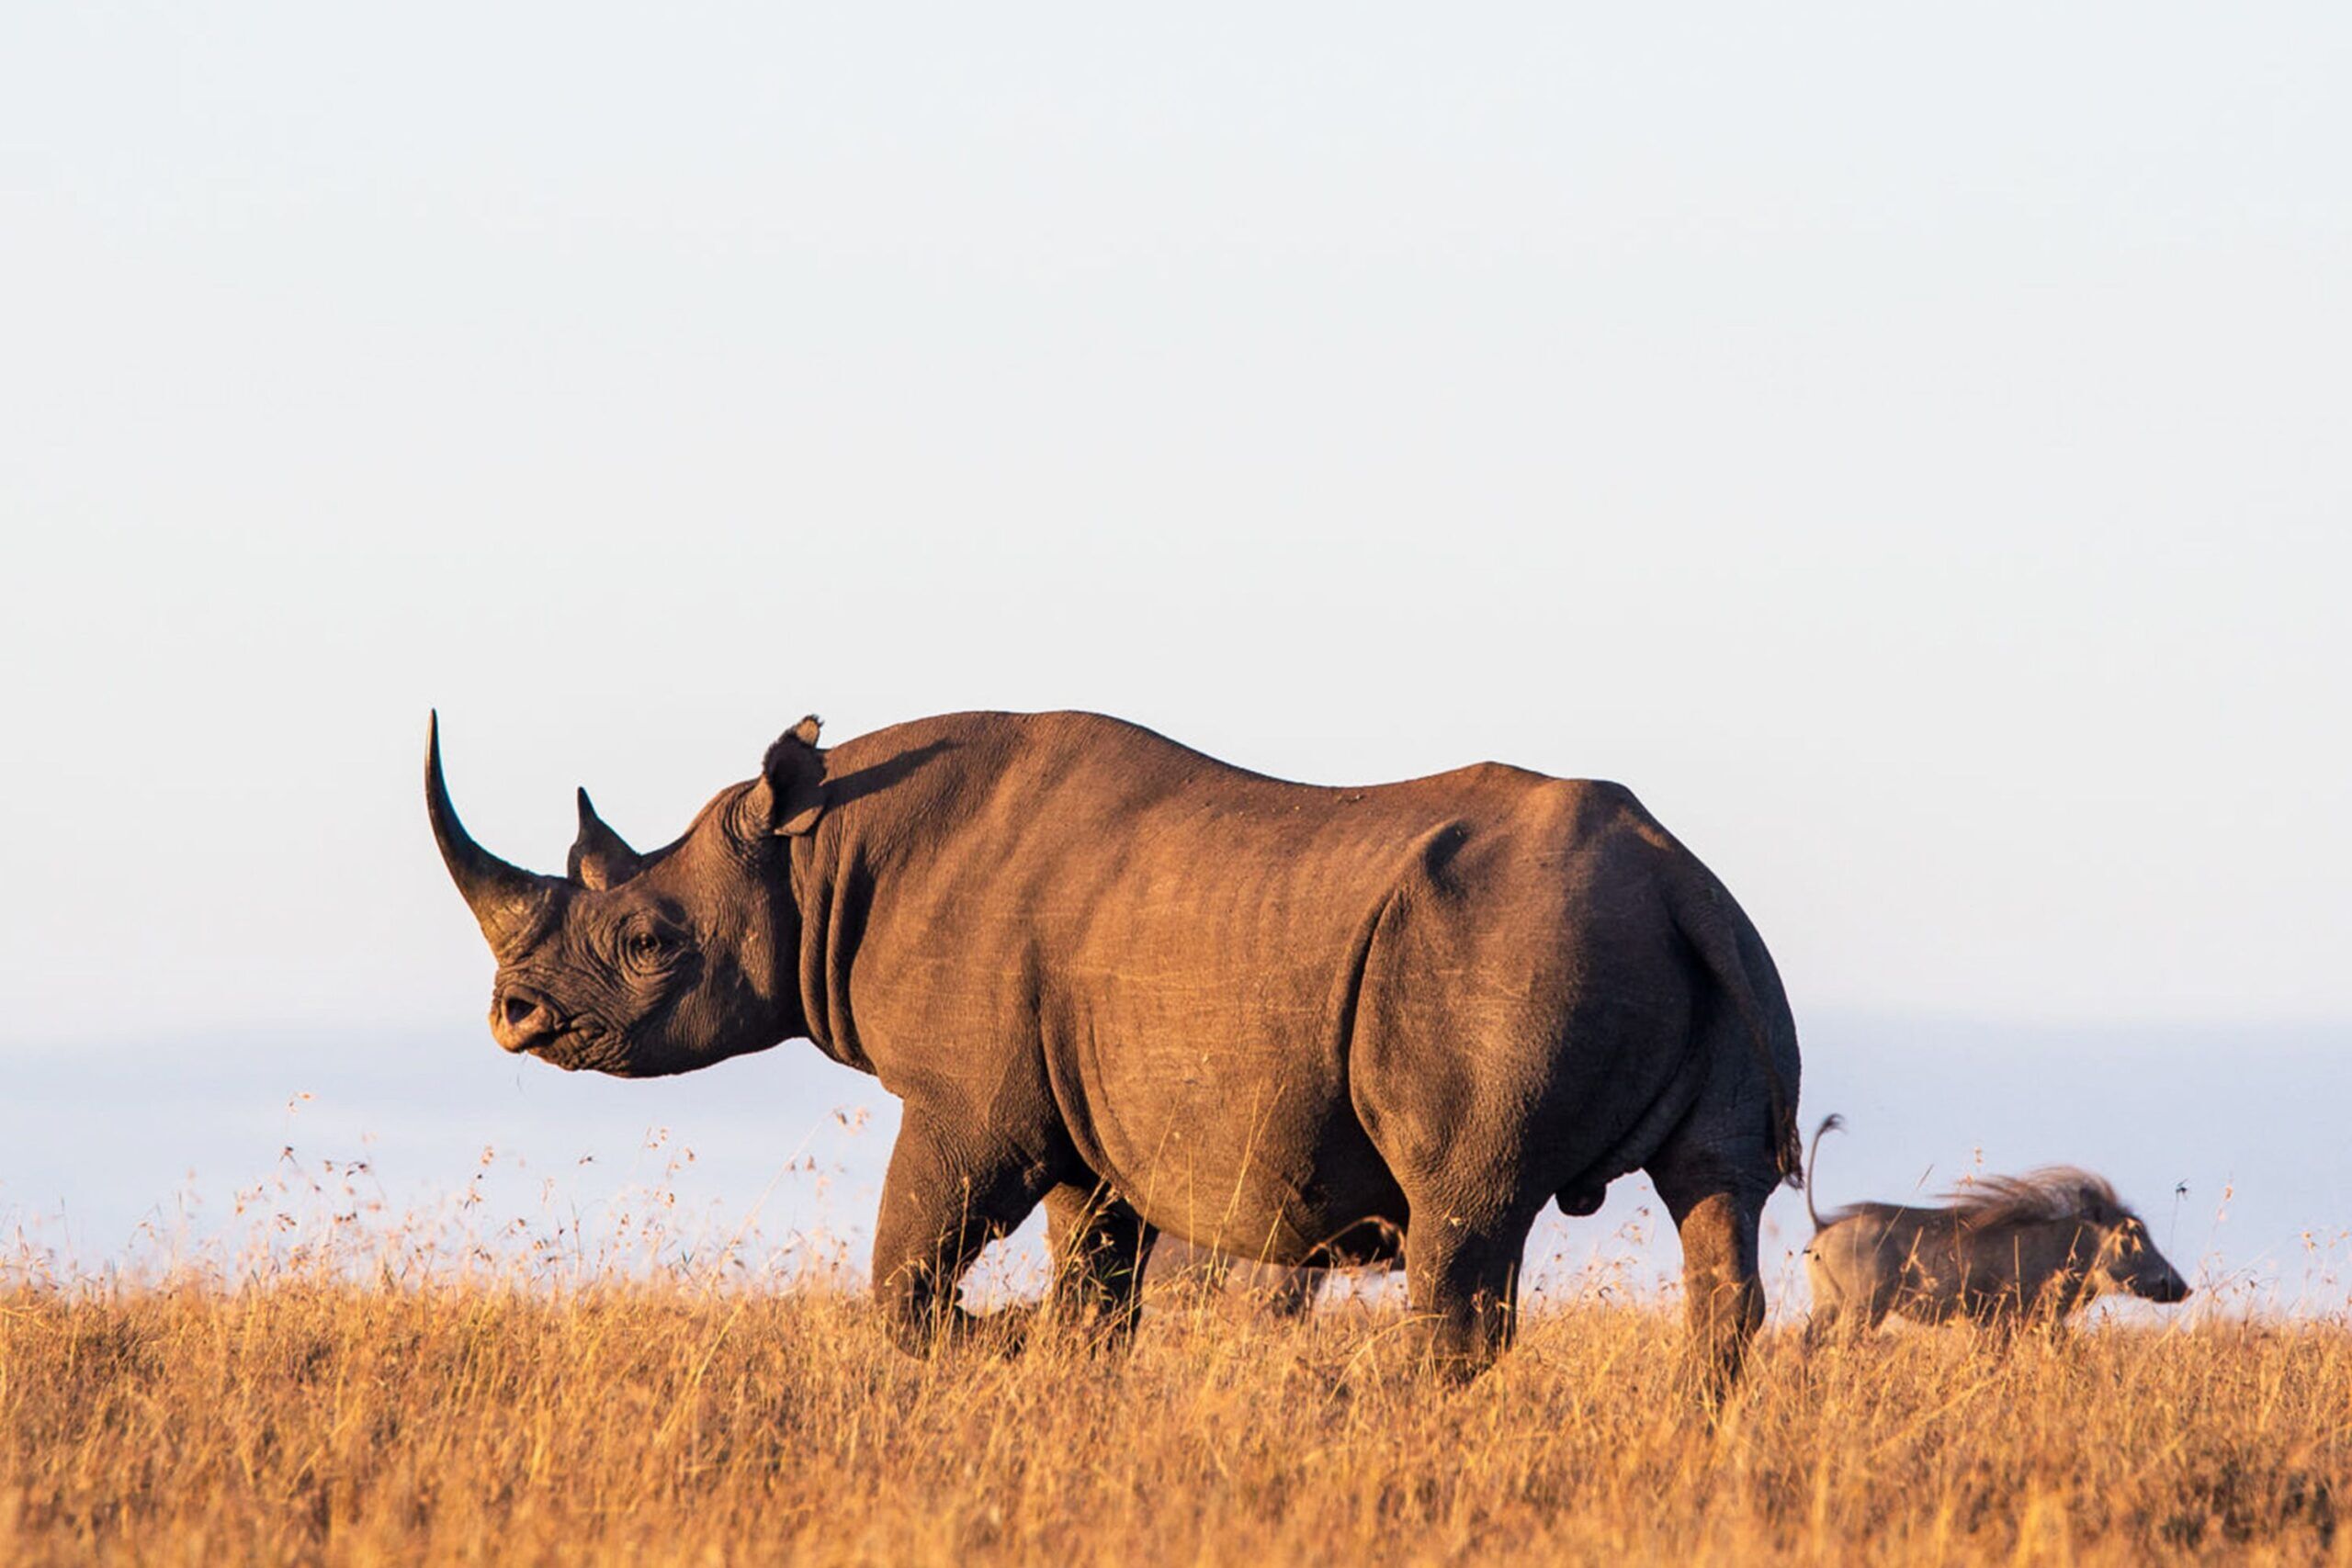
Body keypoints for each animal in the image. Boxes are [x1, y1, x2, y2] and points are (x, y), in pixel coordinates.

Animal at [427, 707, 1802, 1385]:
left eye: (648, 938)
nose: (514, 1015)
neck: (813, 858)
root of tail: (1679, 873)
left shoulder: (975, 1101)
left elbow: (905, 1272)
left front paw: (992, 1342)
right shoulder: (1090, 1124)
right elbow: (1093, 1288)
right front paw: (1057, 1364)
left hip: (1508, 950)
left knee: (1465, 1208)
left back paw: (1401, 1420)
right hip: (1701, 943)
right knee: (1714, 1199)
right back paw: (1700, 1425)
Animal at [1801, 1116, 2191, 1344]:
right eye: (2129, 1235)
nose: (2183, 1288)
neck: (2070, 1247)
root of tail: (1823, 1226)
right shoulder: (2008, 1318)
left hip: (1827, 1303)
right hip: (1864, 1307)